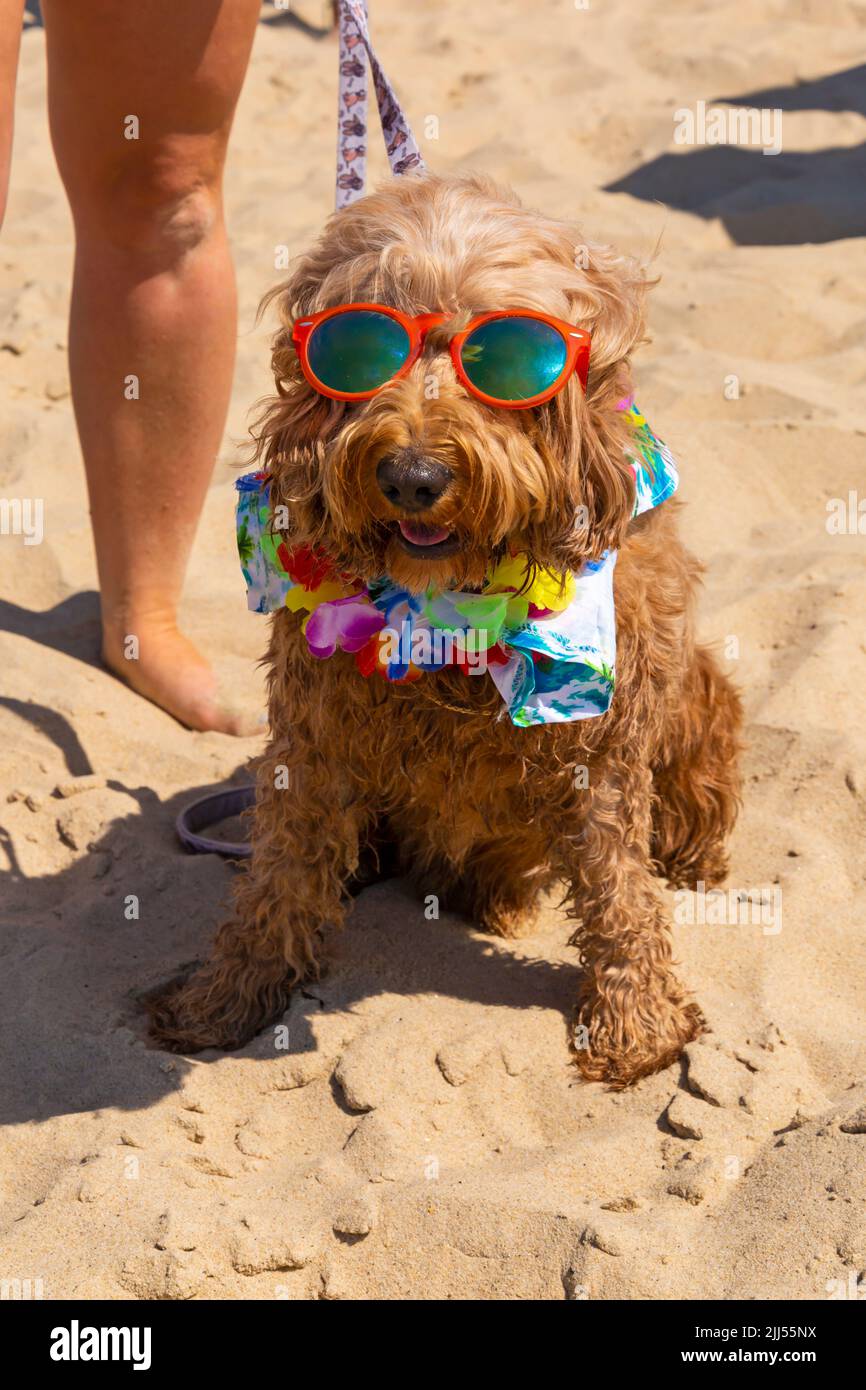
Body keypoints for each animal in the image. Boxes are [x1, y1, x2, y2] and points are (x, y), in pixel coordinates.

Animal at [148, 170, 745, 1084]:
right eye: (361, 349)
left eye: (505, 358)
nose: (413, 476)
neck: (447, 606)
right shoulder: (313, 736)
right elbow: (279, 872)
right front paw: (228, 996)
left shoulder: (604, 748)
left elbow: (617, 883)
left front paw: (633, 1021)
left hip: (702, 693)